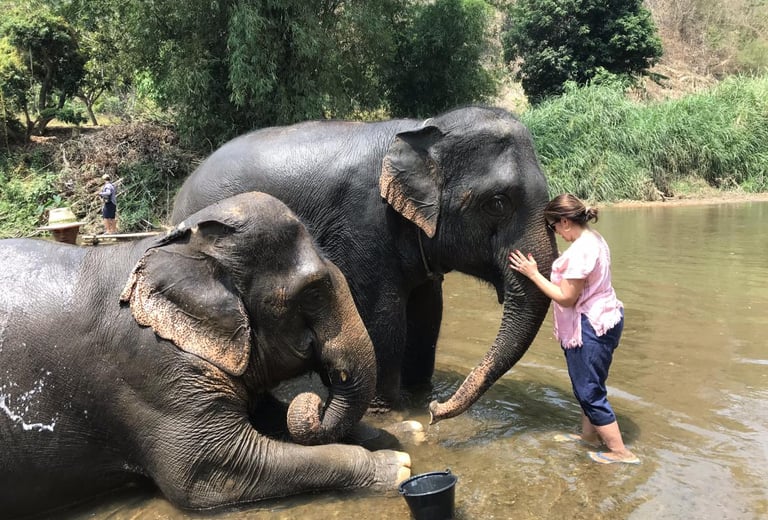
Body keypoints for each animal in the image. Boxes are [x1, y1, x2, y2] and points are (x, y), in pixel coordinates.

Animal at [0, 192, 410, 519]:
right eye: (313, 291)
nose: (315, 401)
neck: (174, 244)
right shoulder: (149, 367)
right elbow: (214, 473)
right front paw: (397, 466)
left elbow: (269, 416)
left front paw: (407, 432)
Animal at [171, 106, 558, 423]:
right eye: (497, 203)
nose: (437, 413)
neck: (423, 128)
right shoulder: (363, 224)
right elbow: (383, 319)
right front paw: (388, 413)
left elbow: (427, 315)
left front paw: (420, 399)